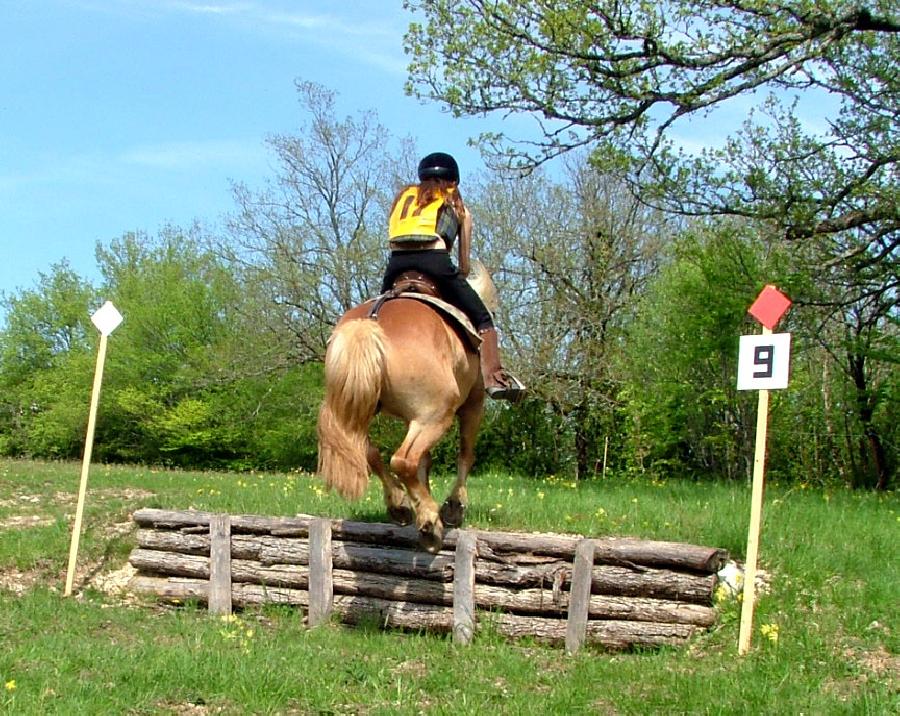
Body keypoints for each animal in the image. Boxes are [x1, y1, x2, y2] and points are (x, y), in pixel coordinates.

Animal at [316, 264, 500, 552]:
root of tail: (368, 325)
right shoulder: (474, 404)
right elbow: (465, 454)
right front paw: (454, 507)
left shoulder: (411, 419)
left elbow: (426, 461)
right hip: (436, 416)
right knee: (403, 460)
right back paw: (429, 522)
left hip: (355, 413)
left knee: (370, 452)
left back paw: (401, 505)